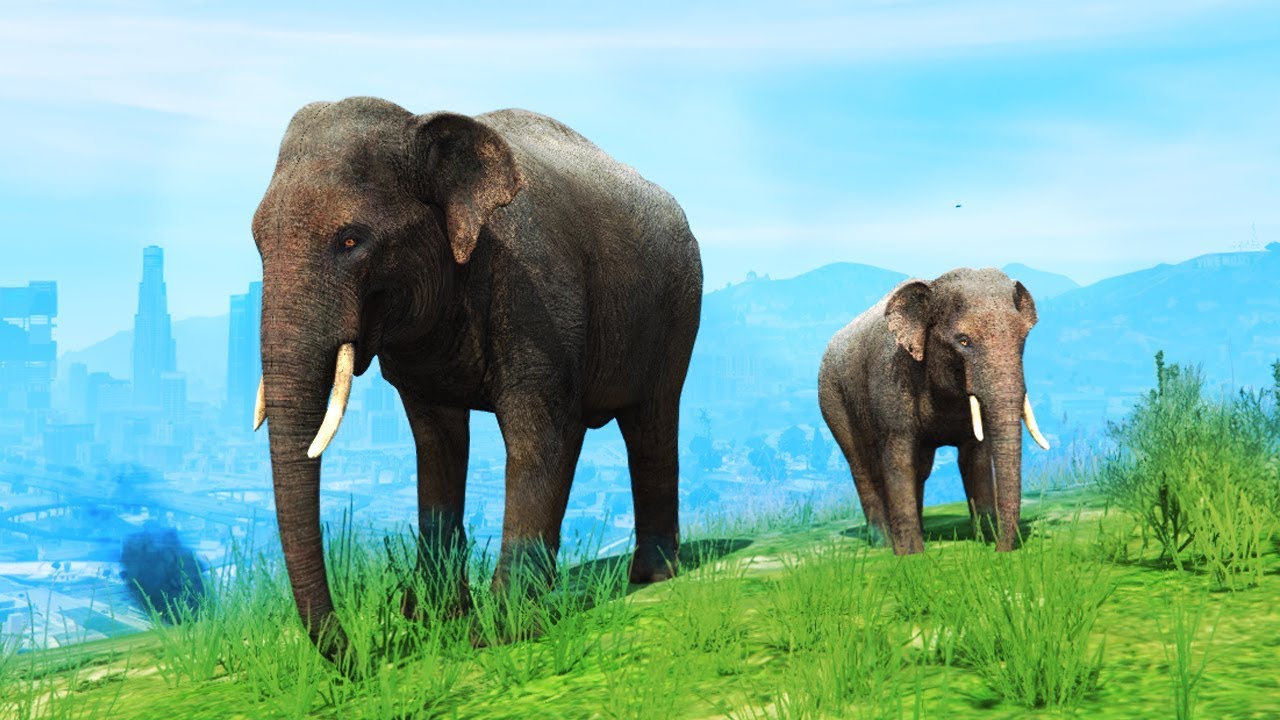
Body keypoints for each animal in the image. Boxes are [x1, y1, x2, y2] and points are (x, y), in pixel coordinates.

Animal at [250, 97, 702, 661]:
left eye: (350, 240)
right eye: (257, 243)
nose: (362, 659)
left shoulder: (537, 294)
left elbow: (543, 434)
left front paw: (498, 631)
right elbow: (436, 442)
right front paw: (431, 616)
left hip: (679, 308)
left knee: (651, 424)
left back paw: (654, 575)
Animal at [817, 268, 1049, 555]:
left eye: (1022, 339)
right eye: (963, 341)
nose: (1000, 551)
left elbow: (975, 458)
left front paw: (985, 538)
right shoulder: (891, 382)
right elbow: (898, 459)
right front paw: (911, 555)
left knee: (921, 468)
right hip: (832, 400)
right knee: (862, 466)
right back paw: (883, 543)